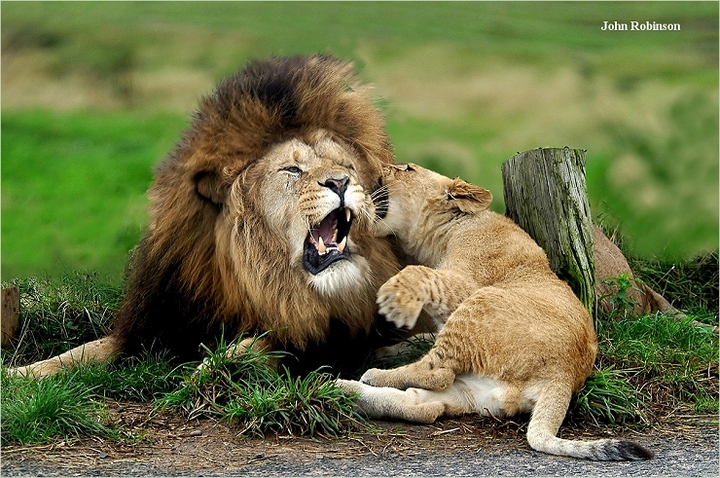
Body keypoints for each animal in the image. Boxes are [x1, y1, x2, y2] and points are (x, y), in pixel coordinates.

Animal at [10, 54, 402, 378]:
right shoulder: (154, 326)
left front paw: (214, 366)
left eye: (346, 165)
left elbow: (265, 344)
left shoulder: (324, 340)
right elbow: (83, 352)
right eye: (292, 169)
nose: (340, 181)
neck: (252, 279)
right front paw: (18, 375)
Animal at [337, 163, 653, 461]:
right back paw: (345, 387)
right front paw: (391, 347)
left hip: (482, 300)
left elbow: (420, 273)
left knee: (437, 373)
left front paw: (394, 301)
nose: (380, 168)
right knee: (423, 405)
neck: (447, 231)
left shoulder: (467, 284)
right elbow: (425, 335)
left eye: (407, 169)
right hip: (477, 391)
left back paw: (371, 376)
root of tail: (564, 375)